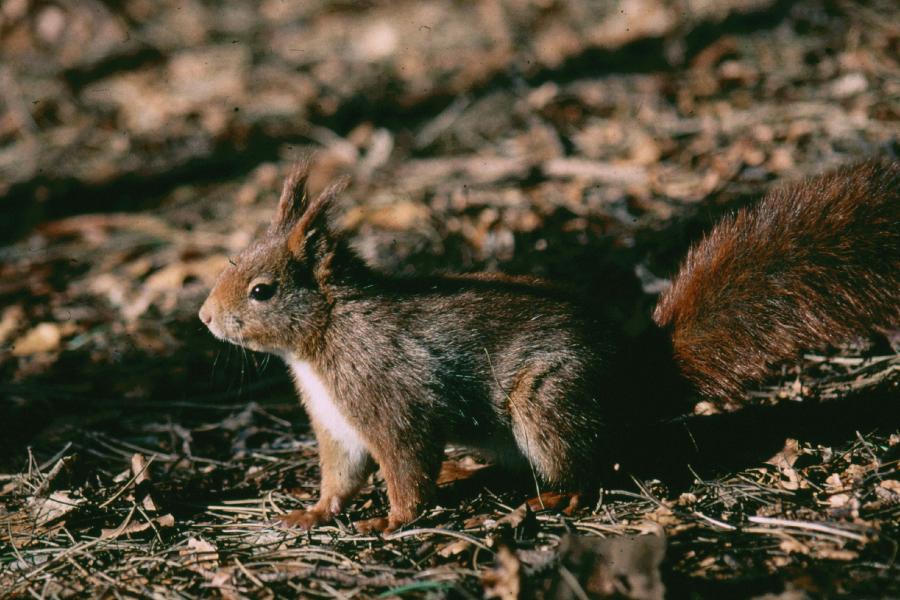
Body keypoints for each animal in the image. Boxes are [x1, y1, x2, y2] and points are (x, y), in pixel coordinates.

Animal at [199, 158, 899, 532]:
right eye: (235, 257)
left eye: (261, 290)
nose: (205, 317)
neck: (323, 339)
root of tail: (633, 380)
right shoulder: (336, 422)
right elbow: (340, 475)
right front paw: (314, 513)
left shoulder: (388, 396)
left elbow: (405, 465)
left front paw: (391, 521)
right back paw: (470, 470)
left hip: (548, 403)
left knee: (589, 469)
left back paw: (554, 496)